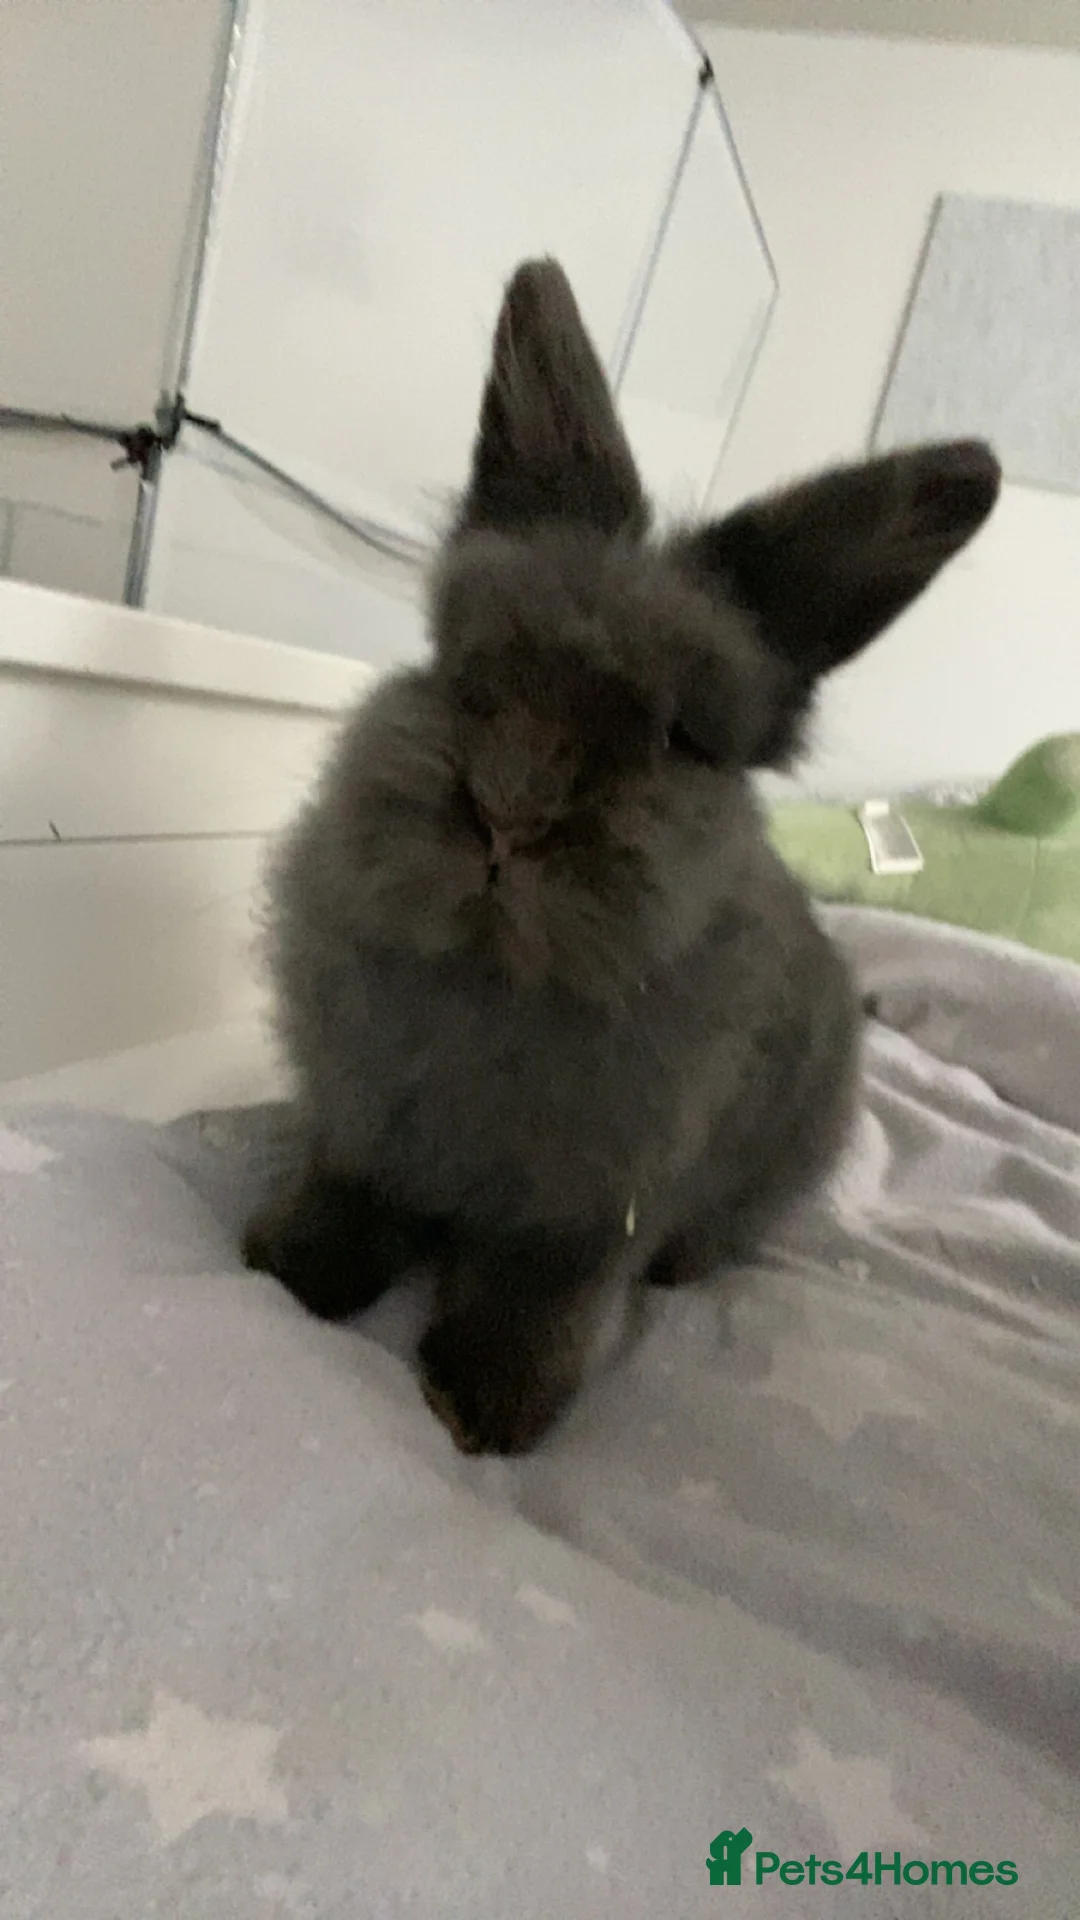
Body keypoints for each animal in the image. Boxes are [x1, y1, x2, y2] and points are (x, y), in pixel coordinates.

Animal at [243, 256, 1001, 1456]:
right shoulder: (363, 1134)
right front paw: (281, 1272)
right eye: (460, 662)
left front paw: (483, 1412)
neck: (499, 982)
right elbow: (342, 1202)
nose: (508, 817)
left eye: (682, 738)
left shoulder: (583, 1217)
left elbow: (532, 1300)